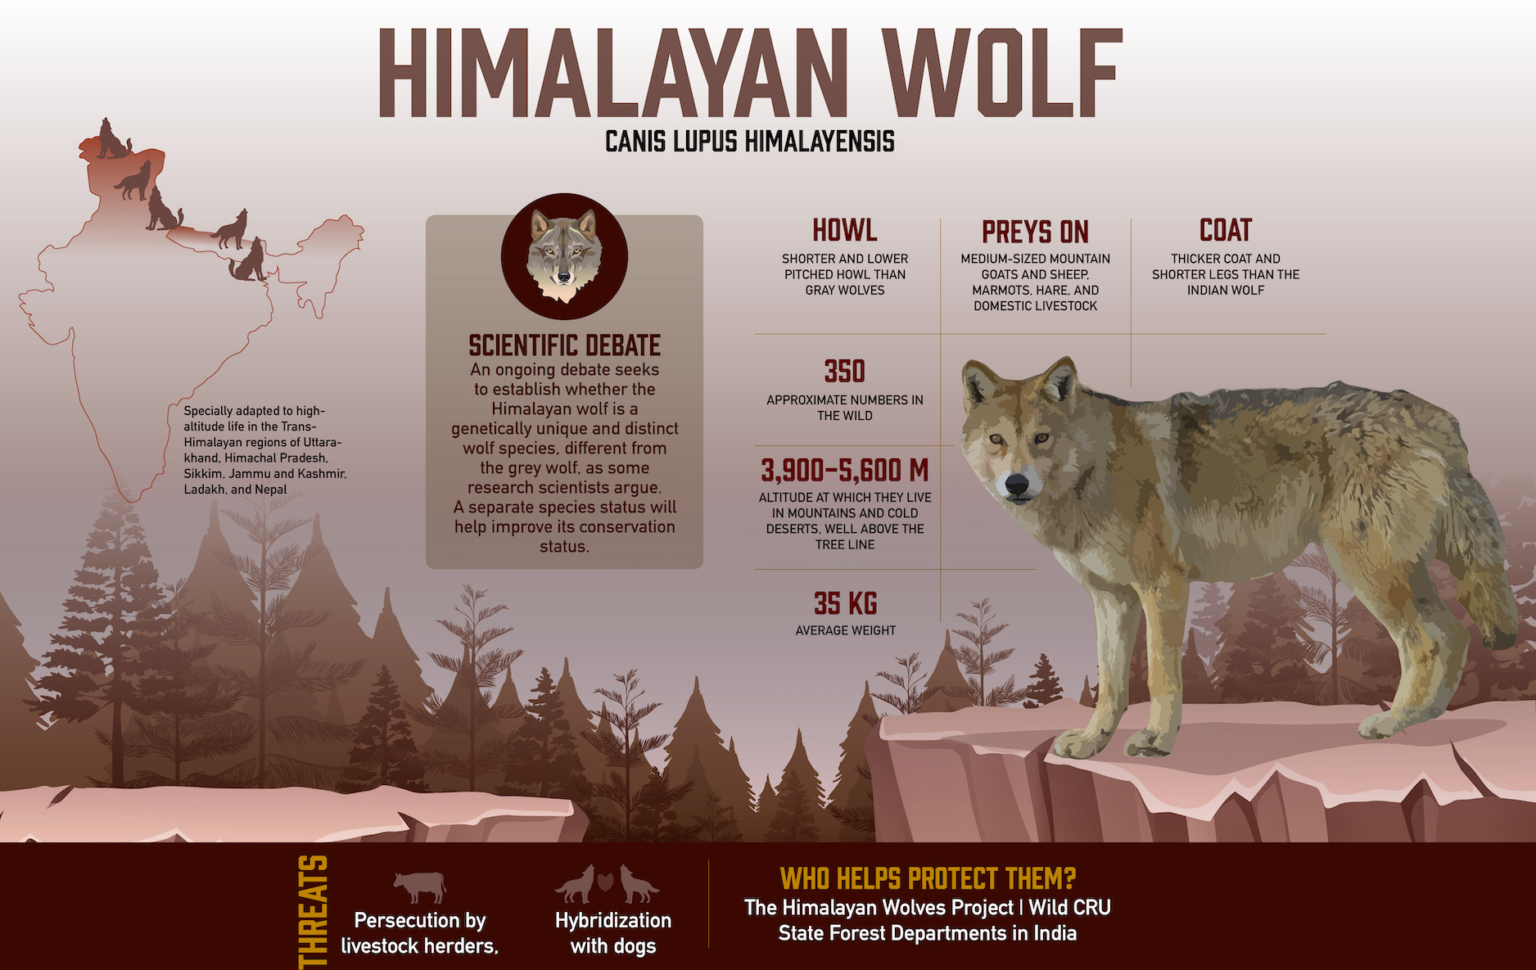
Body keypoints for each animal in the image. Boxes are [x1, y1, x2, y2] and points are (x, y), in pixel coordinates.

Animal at [961, 356, 1519, 760]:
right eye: (997, 440)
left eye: (1041, 438)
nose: (1016, 483)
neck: (1096, 468)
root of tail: (1436, 416)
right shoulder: (1111, 599)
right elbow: (1111, 684)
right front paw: (1092, 742)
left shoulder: (1162, 586)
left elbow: (1160, 675)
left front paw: (1155, 741)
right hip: (1395, 572)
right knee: (1455, 634)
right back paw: (1425, 719)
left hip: (1367, 571)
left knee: (1424, 643)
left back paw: (1391, 722)